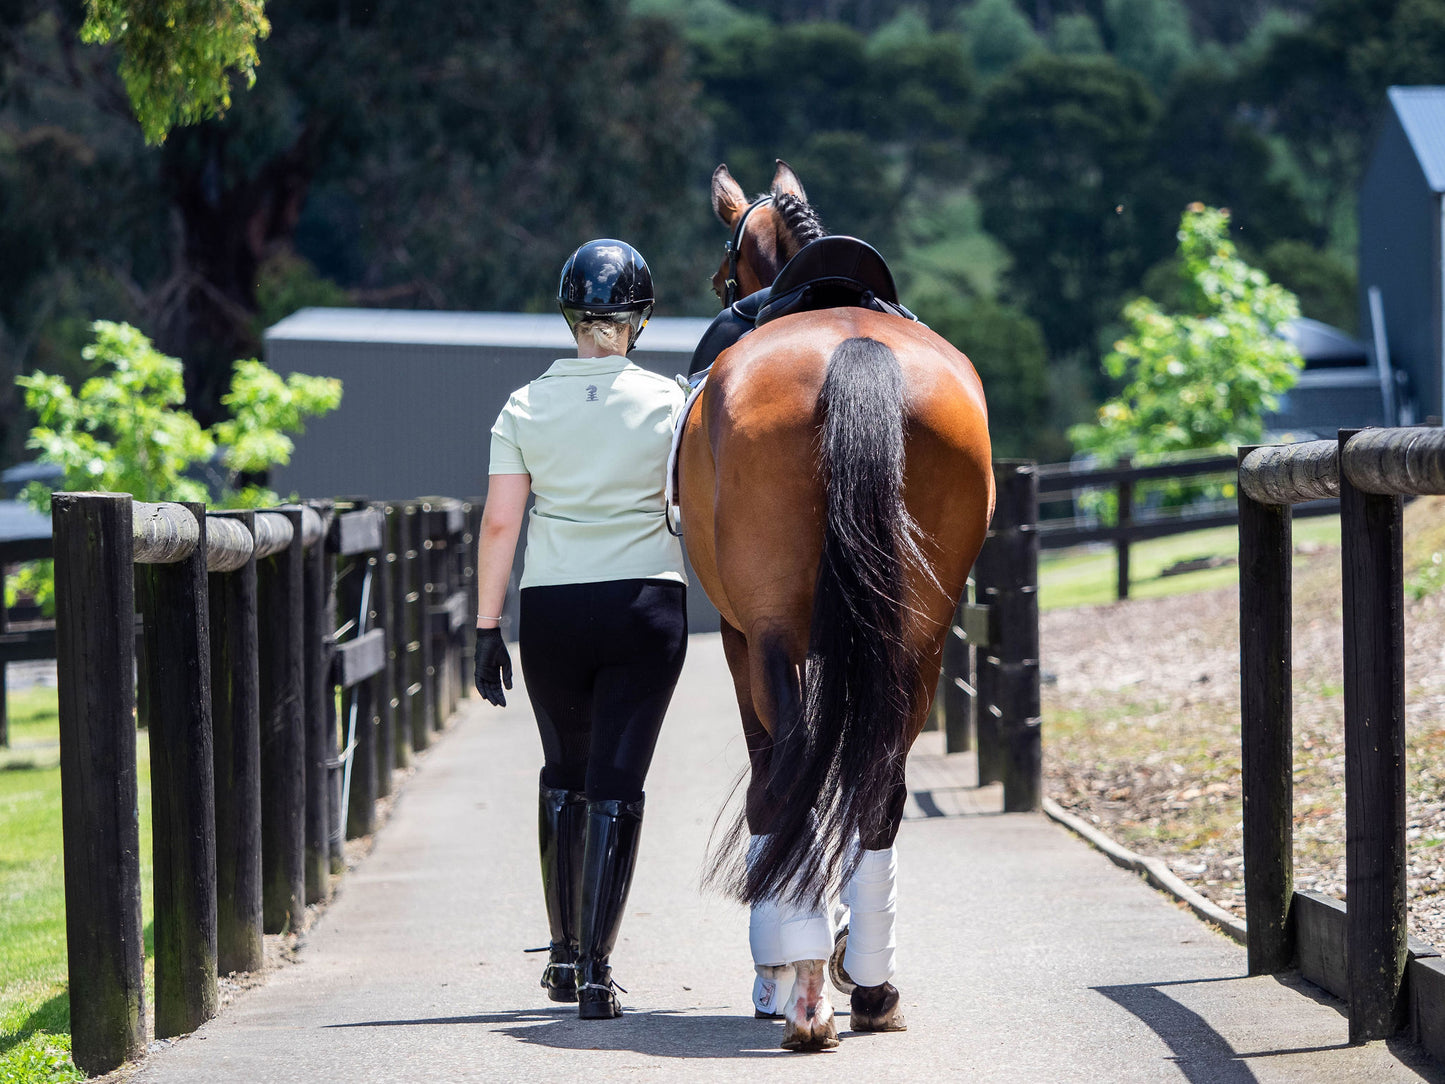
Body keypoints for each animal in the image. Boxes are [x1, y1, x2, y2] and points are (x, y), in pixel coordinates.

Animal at [676, 161, 994, 1052]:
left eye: (725, 257)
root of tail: (853, 348)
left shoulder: (738, 639)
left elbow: (772, 776)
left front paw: (776, 972)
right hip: (918, 642)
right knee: (879, 792)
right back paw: (872, 984)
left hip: (771, 636)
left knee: (784, 781)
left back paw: (802, 987)